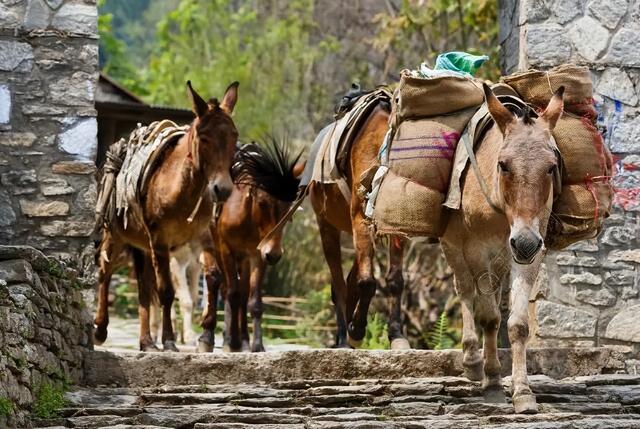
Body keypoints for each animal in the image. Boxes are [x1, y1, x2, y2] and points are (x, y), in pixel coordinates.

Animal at [94, 81, 239, 352]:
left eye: (234, 136)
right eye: (204, 138)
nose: (222, 190)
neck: (182, 191)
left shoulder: (203, 240)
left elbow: (213, 279)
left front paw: (205, 337)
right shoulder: (161, 243)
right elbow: (166, 292)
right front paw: (170, 341)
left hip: (142, 247)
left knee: (143, 289)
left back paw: (147, 342)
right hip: (117, 237)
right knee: (104, 272)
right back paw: (100, 330)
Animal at [198, 139, 303, 353]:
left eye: (288, 208)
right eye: (262, 202)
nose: (275, 254)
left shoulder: (257, 254)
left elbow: (253, 300)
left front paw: (256, 344)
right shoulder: (226, 249)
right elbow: (233, 293)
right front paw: (232, 343)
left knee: (240, 291)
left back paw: (240, 339)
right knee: (216, 282)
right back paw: (209, 337)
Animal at [309, 95, 410, 350]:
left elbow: (395, 280)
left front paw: (397, 335)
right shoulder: (360, 219)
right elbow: (366, 282)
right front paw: (356, 330)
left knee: (350, 279)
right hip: (327, 225)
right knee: (339, 284)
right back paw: (344, 337)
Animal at [440, 83, 564, 413]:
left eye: (552, 167)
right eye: (503, 165)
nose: (523, 242)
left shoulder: (531, 250)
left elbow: (518, 324)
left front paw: (522, 392)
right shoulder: (476, 249)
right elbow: (489, 317)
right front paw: (493, 382)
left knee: (490, 293)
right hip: (453, 247)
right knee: (465, 290)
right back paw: (472, 360)